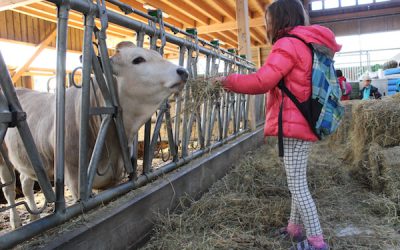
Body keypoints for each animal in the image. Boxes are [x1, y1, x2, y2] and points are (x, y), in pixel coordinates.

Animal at [0, 41, 188, 229]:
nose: (183, 71)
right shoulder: (75, 180)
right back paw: (16, 222)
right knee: (9, 188)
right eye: (138, 59)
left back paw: (34, 217)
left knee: (25, 182)